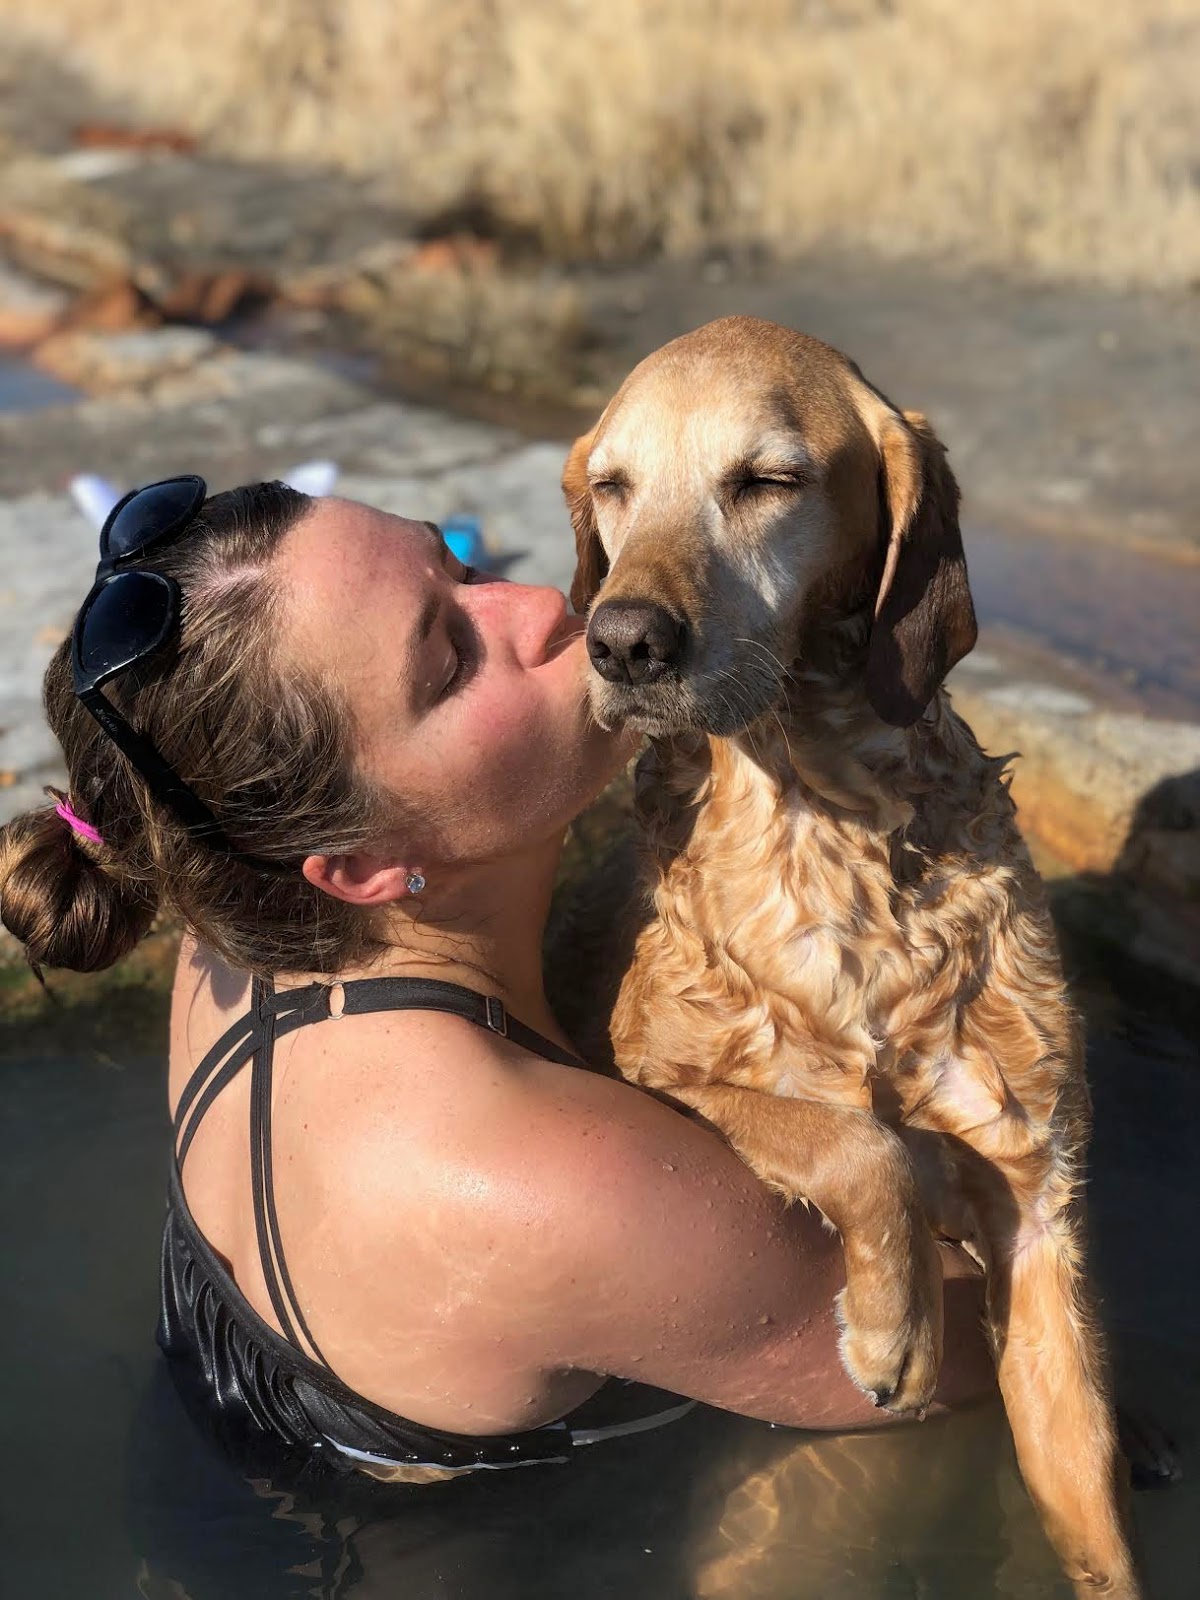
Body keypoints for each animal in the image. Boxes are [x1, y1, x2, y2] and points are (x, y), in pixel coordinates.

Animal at [569, 318, 1139, 1593]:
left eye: (767, 481)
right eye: (614, 486)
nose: (621, 642)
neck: (823, 822)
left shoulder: (1040, 1210)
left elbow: (1094, 1520)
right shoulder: (649, 1072)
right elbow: (859, 1142)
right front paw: (895, 1328)